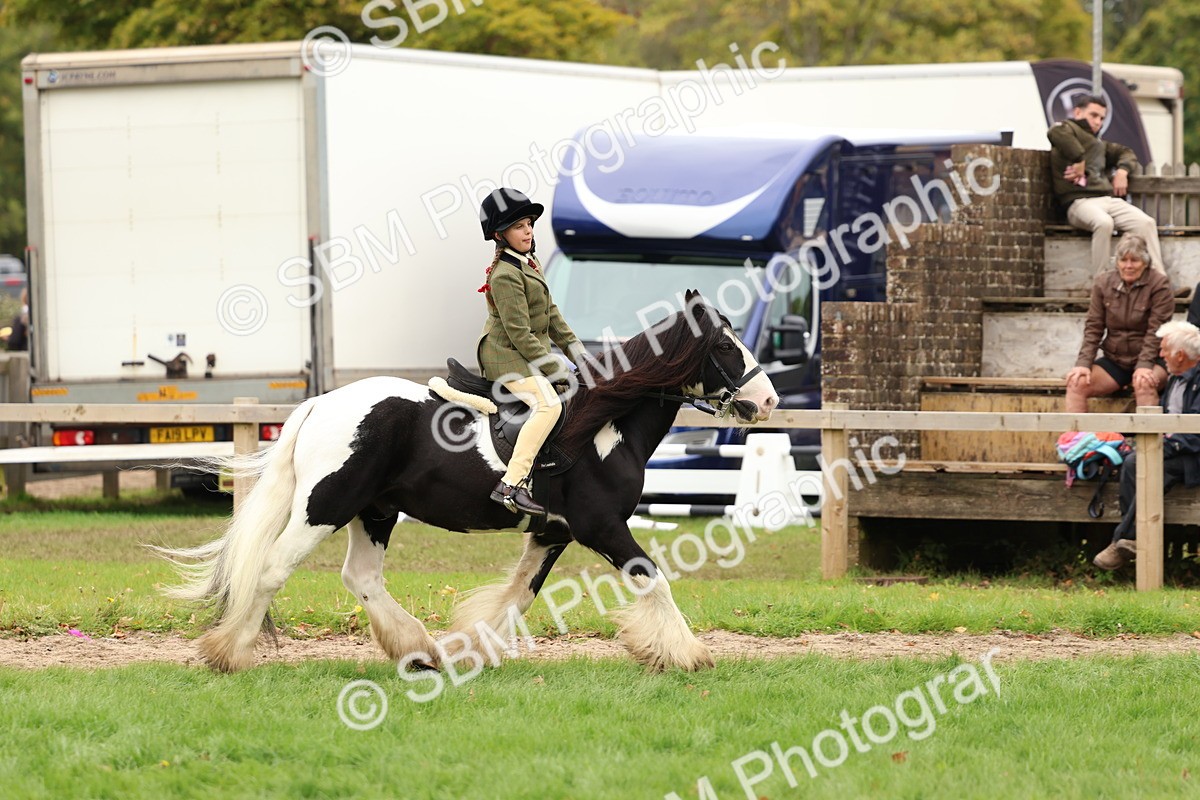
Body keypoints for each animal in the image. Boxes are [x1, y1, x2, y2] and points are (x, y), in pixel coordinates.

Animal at [155, 290, 779, 673]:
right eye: (725, 345)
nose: (768, 399)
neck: (604, 427)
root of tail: (321, 404)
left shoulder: (552, 533)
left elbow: (517, 596)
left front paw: (473, 649)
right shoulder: (602, 527)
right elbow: (655, 578)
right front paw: (687, 654)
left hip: (374, 510)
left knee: (361, 577)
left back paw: (418, 650)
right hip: (324, 507)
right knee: (272, 570)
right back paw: (229, 652)